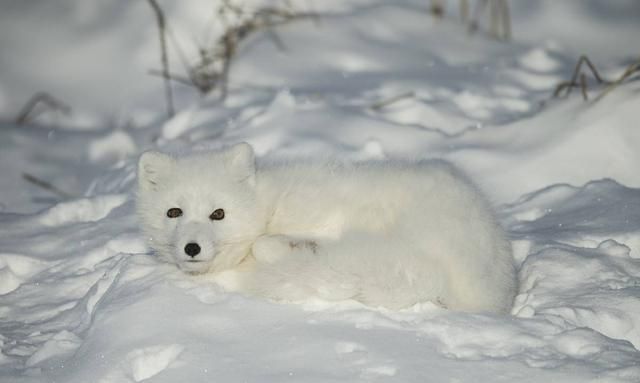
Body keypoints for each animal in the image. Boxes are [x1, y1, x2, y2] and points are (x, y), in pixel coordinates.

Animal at [138, 144, 516, 316]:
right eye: (174, 212)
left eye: (218, 214)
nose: (191, 248)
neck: (267, 207)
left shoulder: (325, 220)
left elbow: (266, 245)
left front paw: (290, 248)